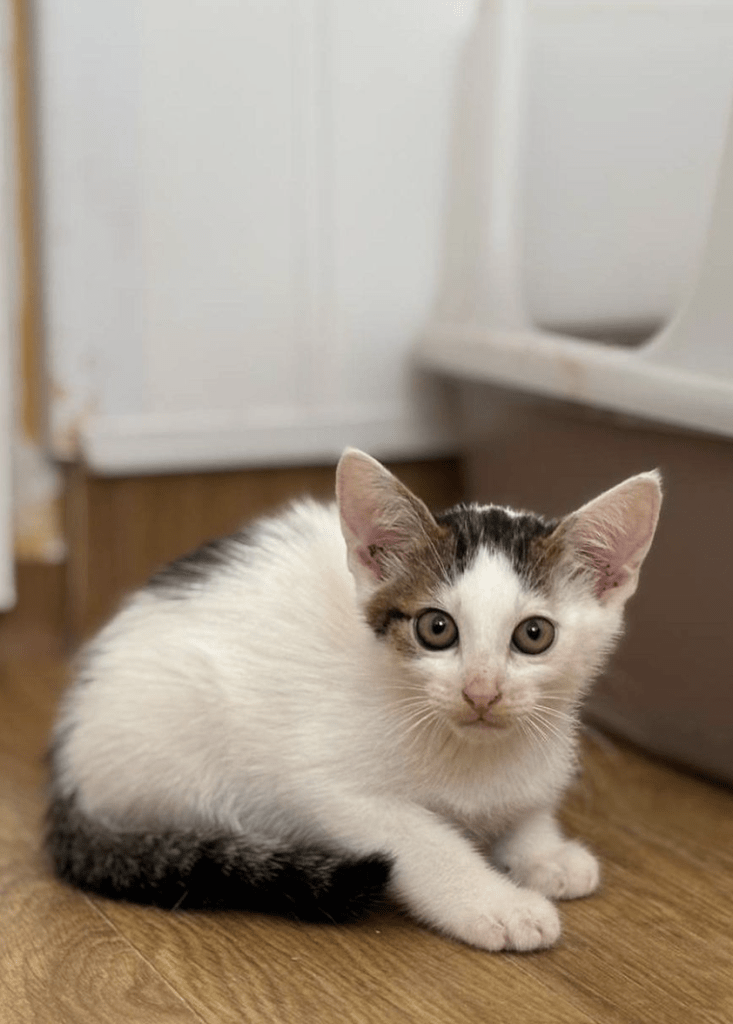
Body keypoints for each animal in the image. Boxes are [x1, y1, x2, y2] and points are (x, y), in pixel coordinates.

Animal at [48, 448, 663, 950]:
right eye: (436, 628)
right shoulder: (328, 787)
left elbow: (530, 804)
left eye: (534, 635)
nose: (481, 692)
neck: (474, 756)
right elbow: (424, 841)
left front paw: (545, 853)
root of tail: (65, 761)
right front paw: (498, 904)